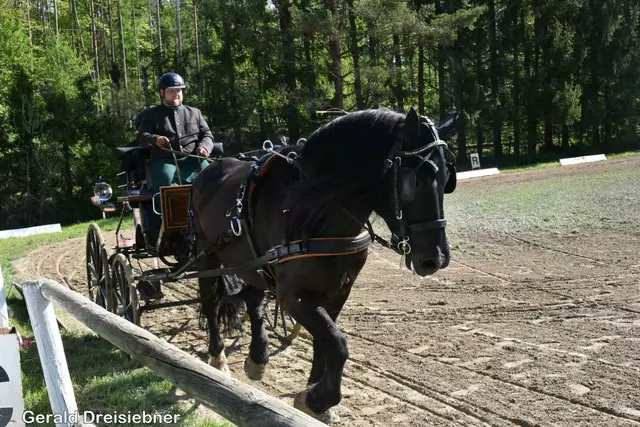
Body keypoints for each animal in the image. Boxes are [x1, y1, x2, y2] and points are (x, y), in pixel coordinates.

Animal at [189, 107, 457, 421]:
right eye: (413, 181)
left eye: (447, 178)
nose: (435, 259)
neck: (312, 210)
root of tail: (208, 170)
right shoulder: (293, 296)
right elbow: (337, 345)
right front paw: (318, 399)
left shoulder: (339, 291)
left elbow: (325, 342)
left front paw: (314, 399)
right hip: (206, 256)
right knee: (211, 304)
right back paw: (217, 356)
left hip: (251, 264)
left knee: (253, 300)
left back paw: (258, 358)